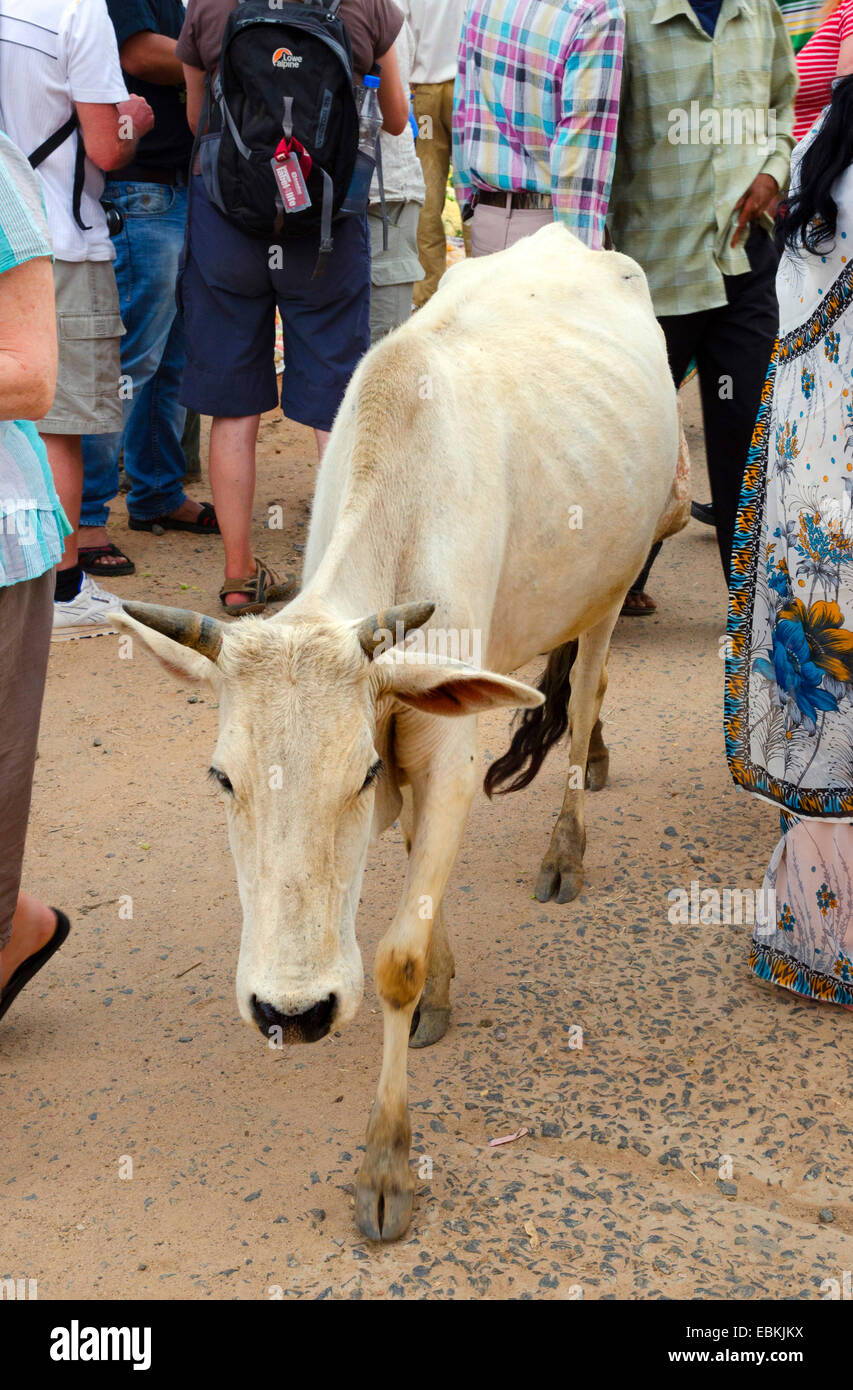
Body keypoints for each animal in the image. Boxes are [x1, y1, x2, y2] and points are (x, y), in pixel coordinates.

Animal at [115, 225, 689, 1239]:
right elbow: (421, 865)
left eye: (356, 775)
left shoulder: (449, 758)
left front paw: (386, 1165)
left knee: (583, 705)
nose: (291, 1011)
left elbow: (397, 959)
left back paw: (568, 842)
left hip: (612, 589)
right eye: (221, 779)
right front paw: (445, 992)